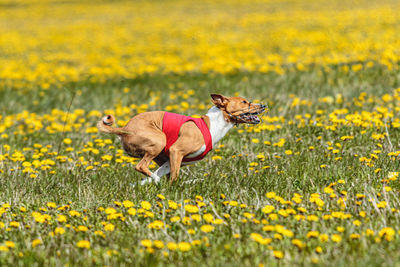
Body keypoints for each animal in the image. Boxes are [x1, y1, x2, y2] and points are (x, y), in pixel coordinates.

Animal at [96, 93, 266, 184]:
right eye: (245, 102)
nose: (263, 105)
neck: (214, 123)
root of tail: (124, 129)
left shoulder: (171, 159)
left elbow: (169, 175)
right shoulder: (176, 151)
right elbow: (174, 179)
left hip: (159, 153)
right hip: (159, 140)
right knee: (141, 166)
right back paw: (156, 181)